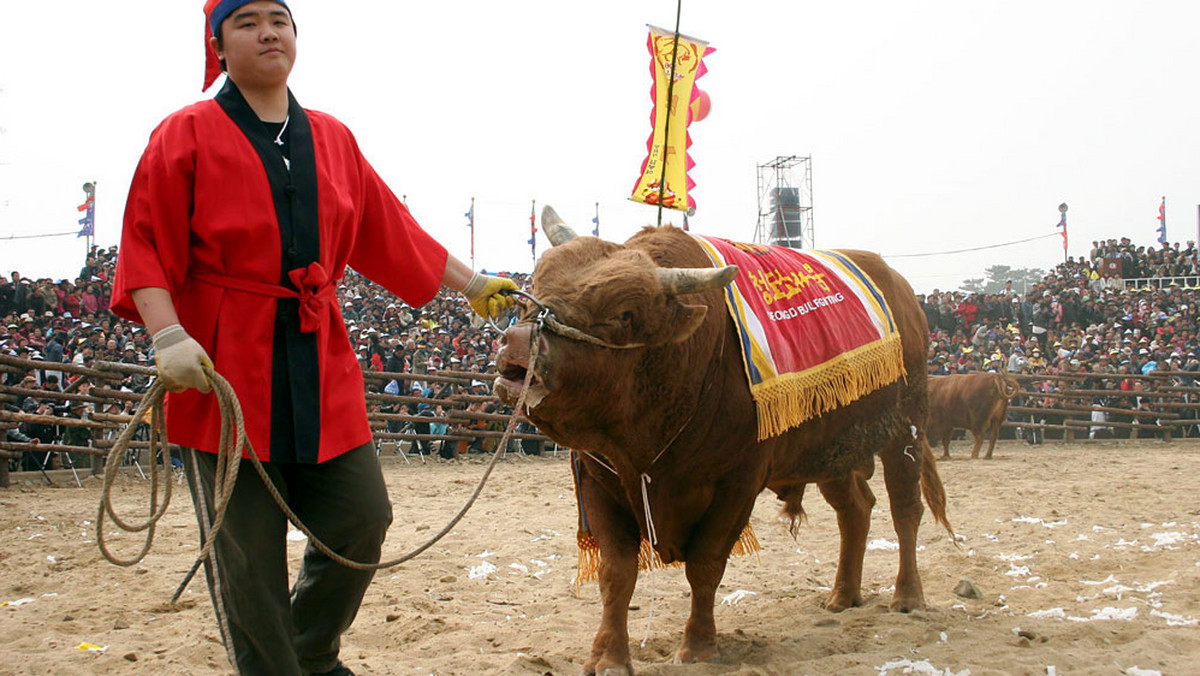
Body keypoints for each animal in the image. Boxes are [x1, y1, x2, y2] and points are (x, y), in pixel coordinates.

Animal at [492, 207, 950, 676]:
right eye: (535, 288)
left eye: (626, 314)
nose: (519, 343)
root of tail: (903, 293)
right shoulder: (598, 482)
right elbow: (616, 574)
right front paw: (608, 655)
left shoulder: (737, 484)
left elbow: (705, 565)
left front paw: (698, 645)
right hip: (831, 450)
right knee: (855, 510)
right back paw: (843, 595)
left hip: (906, 429)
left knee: (905, 511)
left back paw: (907, 596)